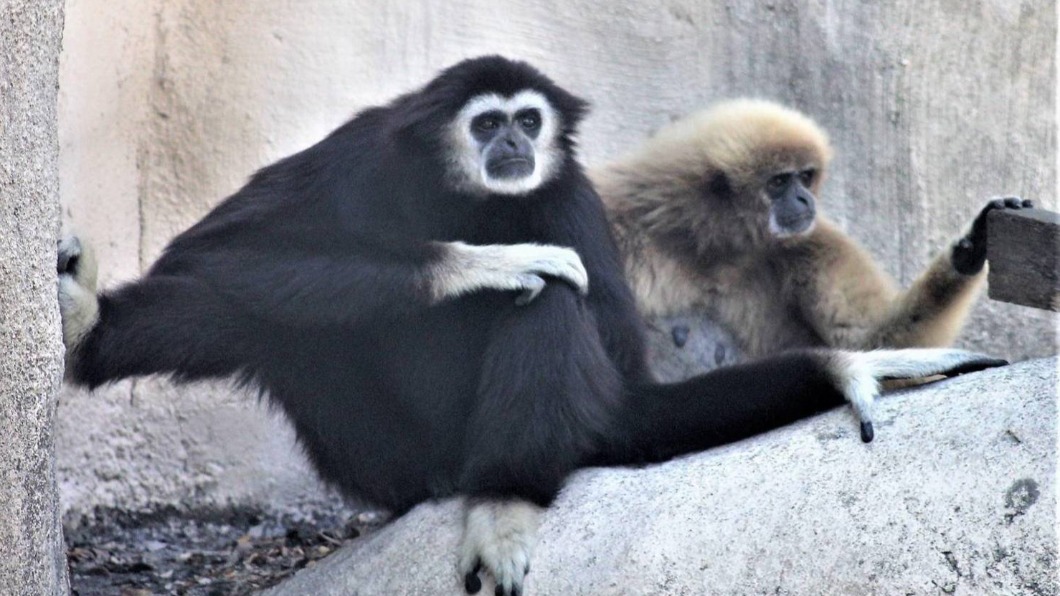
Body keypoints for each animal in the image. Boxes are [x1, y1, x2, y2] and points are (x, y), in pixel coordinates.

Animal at [592, 98, 1033, 369]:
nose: (804, 199)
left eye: (804, 177)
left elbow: (868, 340)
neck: (711, 248)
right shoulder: (614, 214)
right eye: (779, 182)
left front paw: (971, 247)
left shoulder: (813, 241)